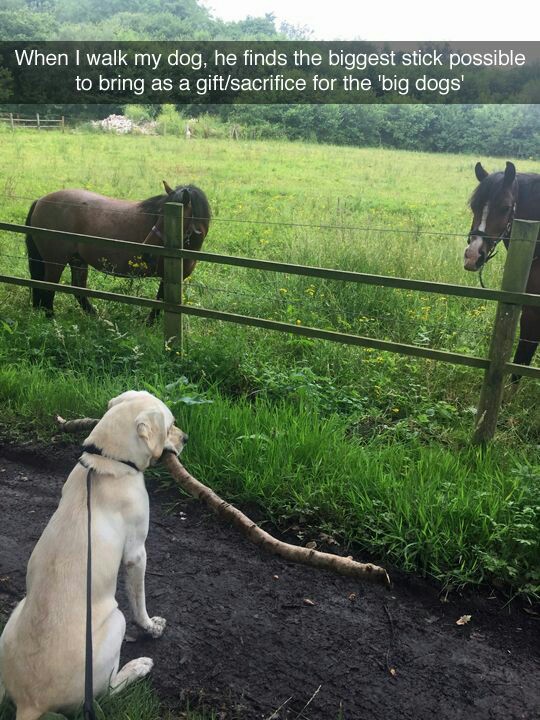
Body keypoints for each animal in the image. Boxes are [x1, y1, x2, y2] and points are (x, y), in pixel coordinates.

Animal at [0, 394, 187, 720]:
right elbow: (139, 601)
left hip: (15, 617)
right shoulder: (137, 554)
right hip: (116, 621)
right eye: (171, 424)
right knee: (109, 691)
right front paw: (151, 627)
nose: (186, 438)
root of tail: (30, 702)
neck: (107, 463)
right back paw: (138, 666)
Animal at [25, 180, 211, 318]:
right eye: (159, 214)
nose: (146, 252)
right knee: (48, 289)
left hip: (77, 260)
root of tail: (40, 200)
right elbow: (159, 304)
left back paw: (95, 316)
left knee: (78, 290)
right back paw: (51, 318)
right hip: (55, 262)